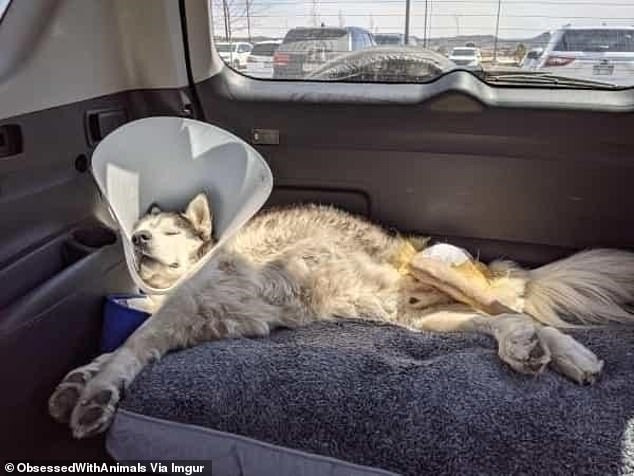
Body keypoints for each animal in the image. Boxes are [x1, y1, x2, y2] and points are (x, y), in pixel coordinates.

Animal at [48, 193, 632, 438]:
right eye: (142, 231)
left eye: (171, 231)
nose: (139, 240)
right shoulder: (197, 320)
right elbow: (121, 346)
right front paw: (79, 380)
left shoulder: (187, 310)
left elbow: (128, 346)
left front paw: (96, 394)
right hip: (423, 320)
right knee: (510, 321)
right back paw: (529, 350)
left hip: (433, 268)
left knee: (525, 314)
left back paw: (572, 355)